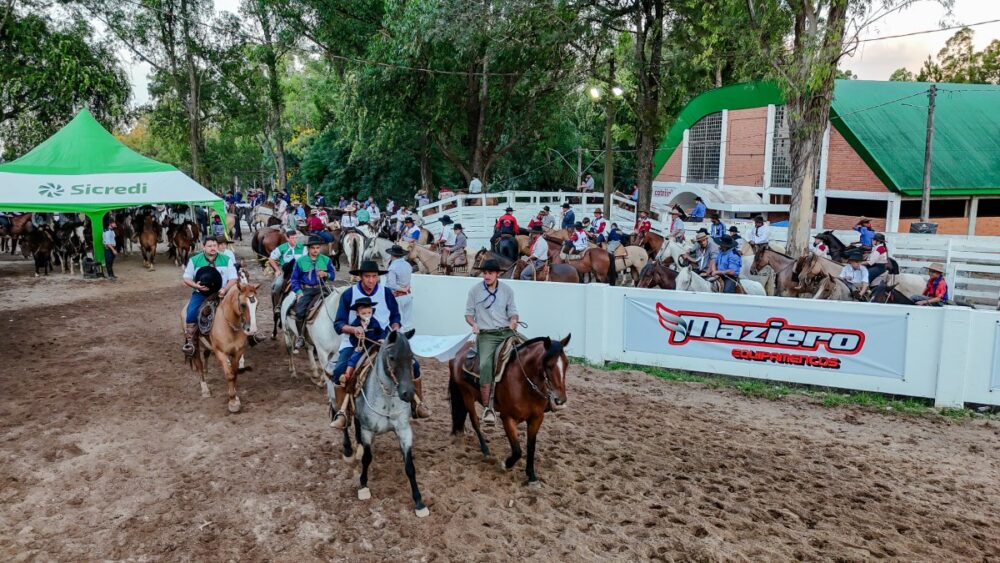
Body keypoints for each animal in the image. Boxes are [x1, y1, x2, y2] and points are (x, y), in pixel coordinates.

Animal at [182, 279, 261, 413]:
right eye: (243, 305)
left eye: (257, 304)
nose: (252, 330)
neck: (228, 325)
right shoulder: (220, 353)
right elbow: (229, 375)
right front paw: (233, 402)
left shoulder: (237, 352)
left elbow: (234, 374)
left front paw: (236, 397)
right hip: (195, 345)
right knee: (199, 365)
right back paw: (205, 389)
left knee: (206, 356)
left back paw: (206, 371)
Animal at [448, 335, 571, 487]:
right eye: (549, 365)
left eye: (566, 363)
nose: (560, 399)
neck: (523, 382)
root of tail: (458, 354)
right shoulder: (507, 418)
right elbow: (517, 450)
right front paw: (506, 465)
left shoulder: (537, 418)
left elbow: (531, 447)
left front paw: (532, 476)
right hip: (467, 395)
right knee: (475, 421)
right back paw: (485, 450)